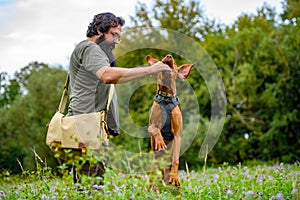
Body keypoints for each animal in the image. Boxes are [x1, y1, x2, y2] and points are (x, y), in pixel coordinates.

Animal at [146, 54, 193, 186]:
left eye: (175, 63)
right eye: (162, 59)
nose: (168, 56)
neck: (166, 99)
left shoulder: (177, 135)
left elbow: (176, 159)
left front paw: (175, 177)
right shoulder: (150, 125)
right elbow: (155, 129)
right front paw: (160, 142)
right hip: (153, 178)